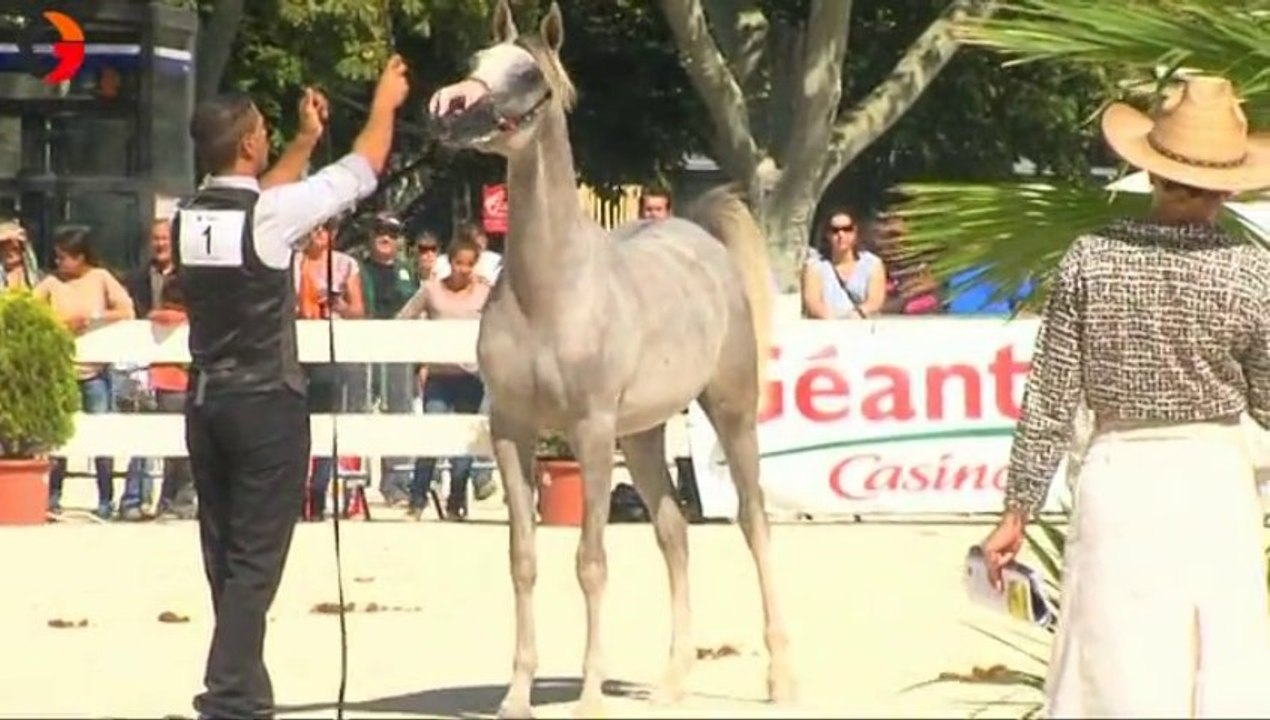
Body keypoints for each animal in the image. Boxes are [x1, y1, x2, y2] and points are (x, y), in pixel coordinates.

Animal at [427, 2, 795, 716]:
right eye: (475, 62)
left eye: (525, 72)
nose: (447, 109)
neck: (550, 293)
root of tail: (699, 236)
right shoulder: (512, 430)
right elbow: (523, 559)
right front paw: (517, 695)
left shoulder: (591, 433)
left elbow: (590, 562)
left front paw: (591, 695)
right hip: (646, 435)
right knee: (674, 531)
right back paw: (671, 682)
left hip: (729, 414)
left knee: (753, 521)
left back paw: (781, 680)